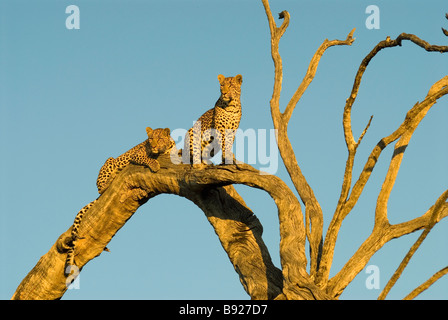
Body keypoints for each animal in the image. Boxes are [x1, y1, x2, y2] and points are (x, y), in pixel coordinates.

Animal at [64, 126, 174, 276]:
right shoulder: (137, 155)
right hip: (109, 161)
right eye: (151, 139)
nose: (154, 146)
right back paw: (110, 180)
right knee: (101, 189)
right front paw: (155, 164)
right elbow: (147, 158)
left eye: (160, 139)